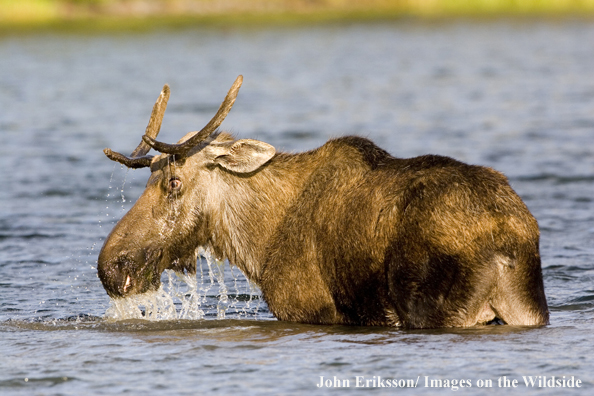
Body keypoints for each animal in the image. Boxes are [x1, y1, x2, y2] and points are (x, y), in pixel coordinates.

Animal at [97, 74, 544, 328]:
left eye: (173, 182)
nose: (112, 266)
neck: (258, 241)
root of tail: (510, 237)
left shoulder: (306, 308)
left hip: (439, 310)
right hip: (526, 308)